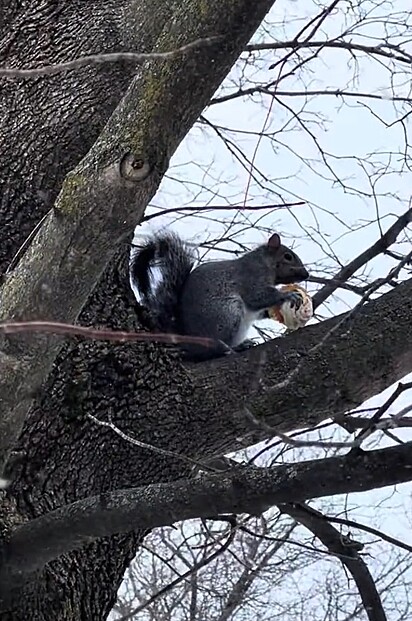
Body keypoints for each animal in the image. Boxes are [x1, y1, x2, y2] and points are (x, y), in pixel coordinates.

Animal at [130, 231, 308, 358]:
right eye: (288, 256)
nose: (306, 275)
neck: (265, 262)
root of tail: (185, 336)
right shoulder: (251, 277)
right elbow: (256, 296)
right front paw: (288, 296)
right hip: (228, 313)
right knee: (208, 350)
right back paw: (227, 349)